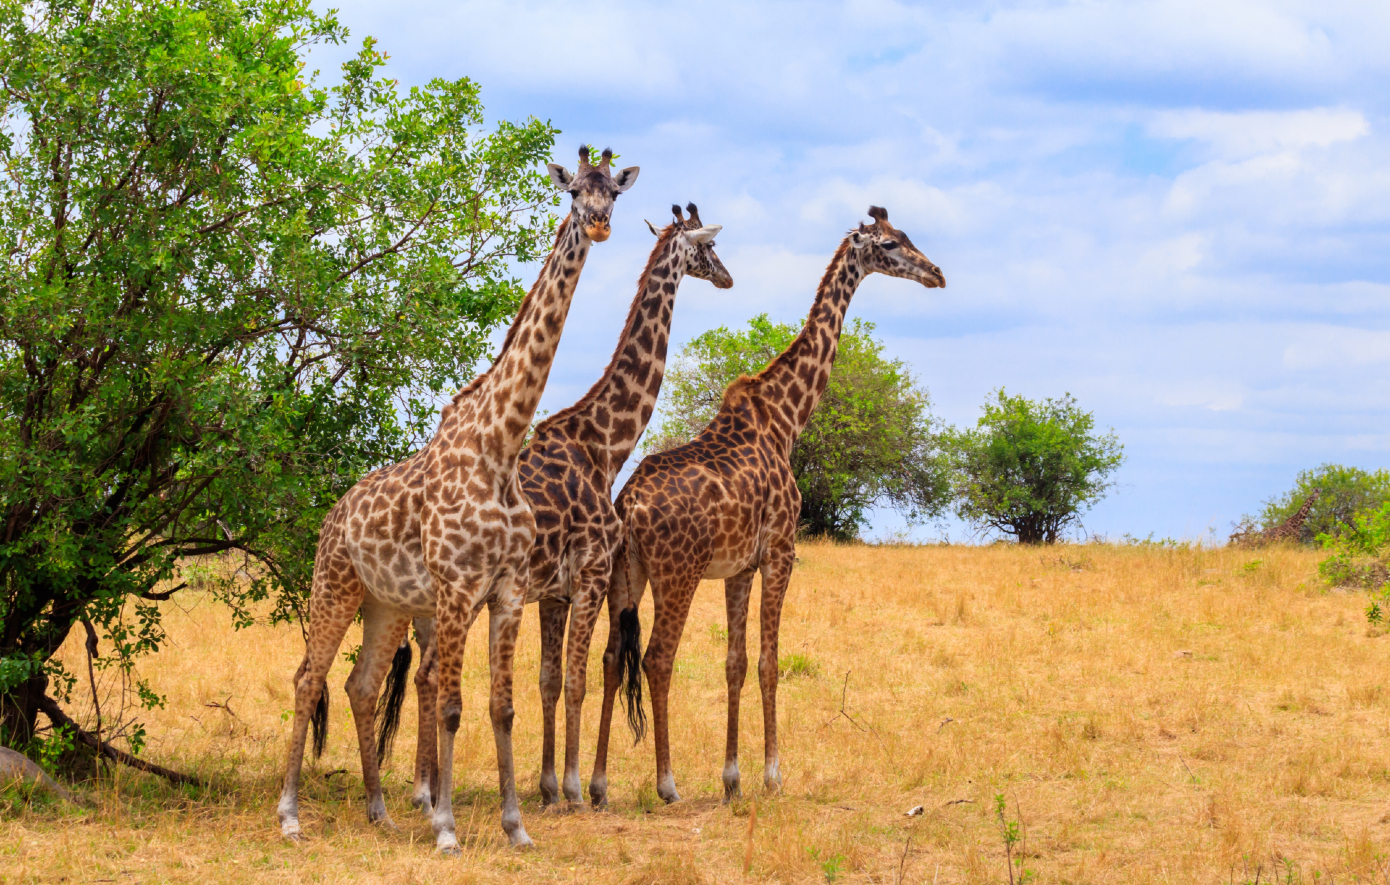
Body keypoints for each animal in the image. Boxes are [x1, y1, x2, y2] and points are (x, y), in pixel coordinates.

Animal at [272, 146, 639, 855]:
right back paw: (290, 815)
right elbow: (448, 703)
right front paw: (444, 827)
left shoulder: (508, 590)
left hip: (384, 603)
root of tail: (334, 513)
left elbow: (502, 706)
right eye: (574, 190)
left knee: (359, 684)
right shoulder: (456, 586)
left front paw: (517, 826)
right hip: (334, 585)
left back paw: (380, 812)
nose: (601, 223)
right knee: (308, 678)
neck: (500, 446)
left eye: (615, 191)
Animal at [378, 204, 728, 811]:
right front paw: (573, 788)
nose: (728, 277)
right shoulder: (589, 576)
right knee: (428, 676)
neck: (605, 446)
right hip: (453, 597)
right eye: (708, 249)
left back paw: (426, 788)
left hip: (427, 606)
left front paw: (545, 787)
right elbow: (575, 680)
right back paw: (427, 792)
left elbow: (546, 679)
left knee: (422, 675)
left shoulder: (553, 593)